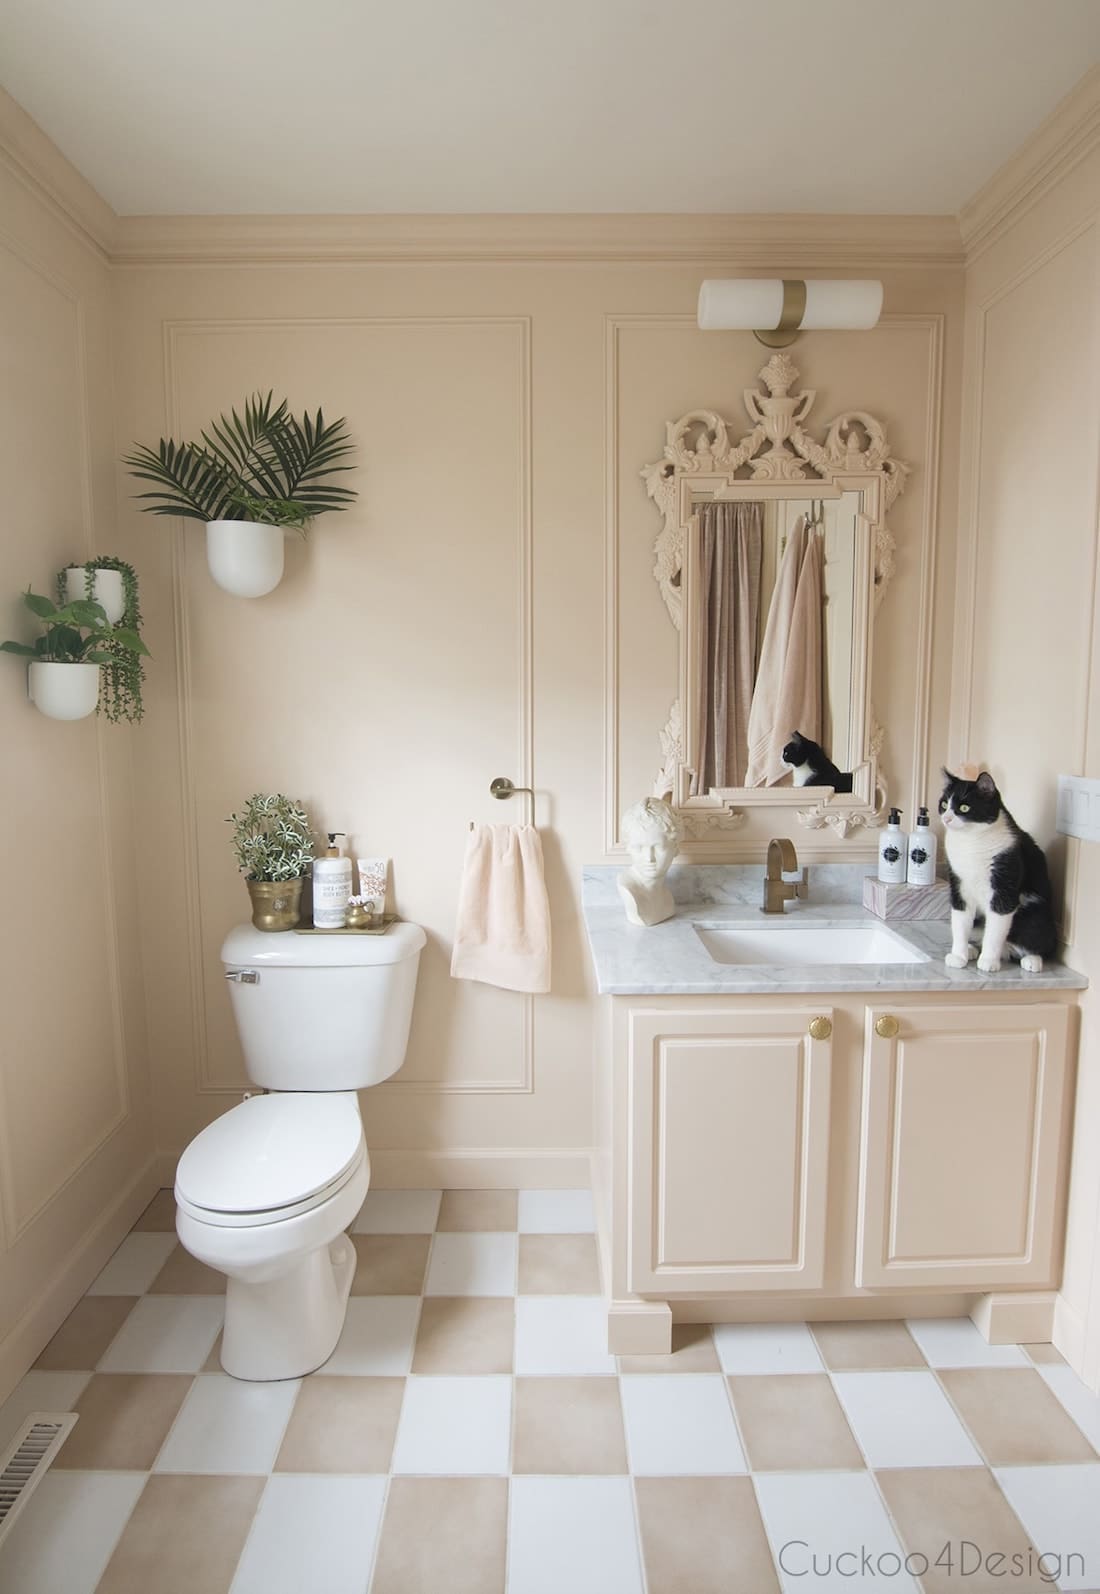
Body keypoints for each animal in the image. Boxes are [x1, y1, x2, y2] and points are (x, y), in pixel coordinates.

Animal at [931, 768, 1052, 975]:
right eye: (944, 804)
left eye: (964, 808)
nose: (946, 818)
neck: (970, 842)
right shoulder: (959, 884)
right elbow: (960, 922)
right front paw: (959, 956)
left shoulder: (1004, 883)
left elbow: (995, 930)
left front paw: (988, 961)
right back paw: (972, 949)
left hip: (1035, 914)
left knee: (1038, 940)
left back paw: (1031, 960)